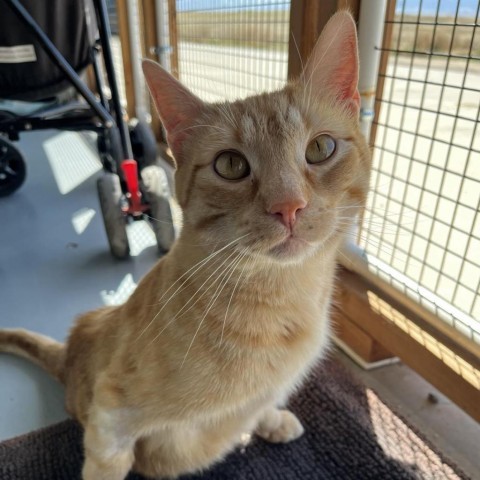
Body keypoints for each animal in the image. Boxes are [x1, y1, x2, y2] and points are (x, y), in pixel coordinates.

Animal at [0, 11, 372, 480]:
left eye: (320, 147)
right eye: (231, 165)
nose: (288, 206)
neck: (283, 299)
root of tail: (69, 352)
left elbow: (261, 403)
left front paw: (268, 418)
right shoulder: (111, 416)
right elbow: (108, 462)